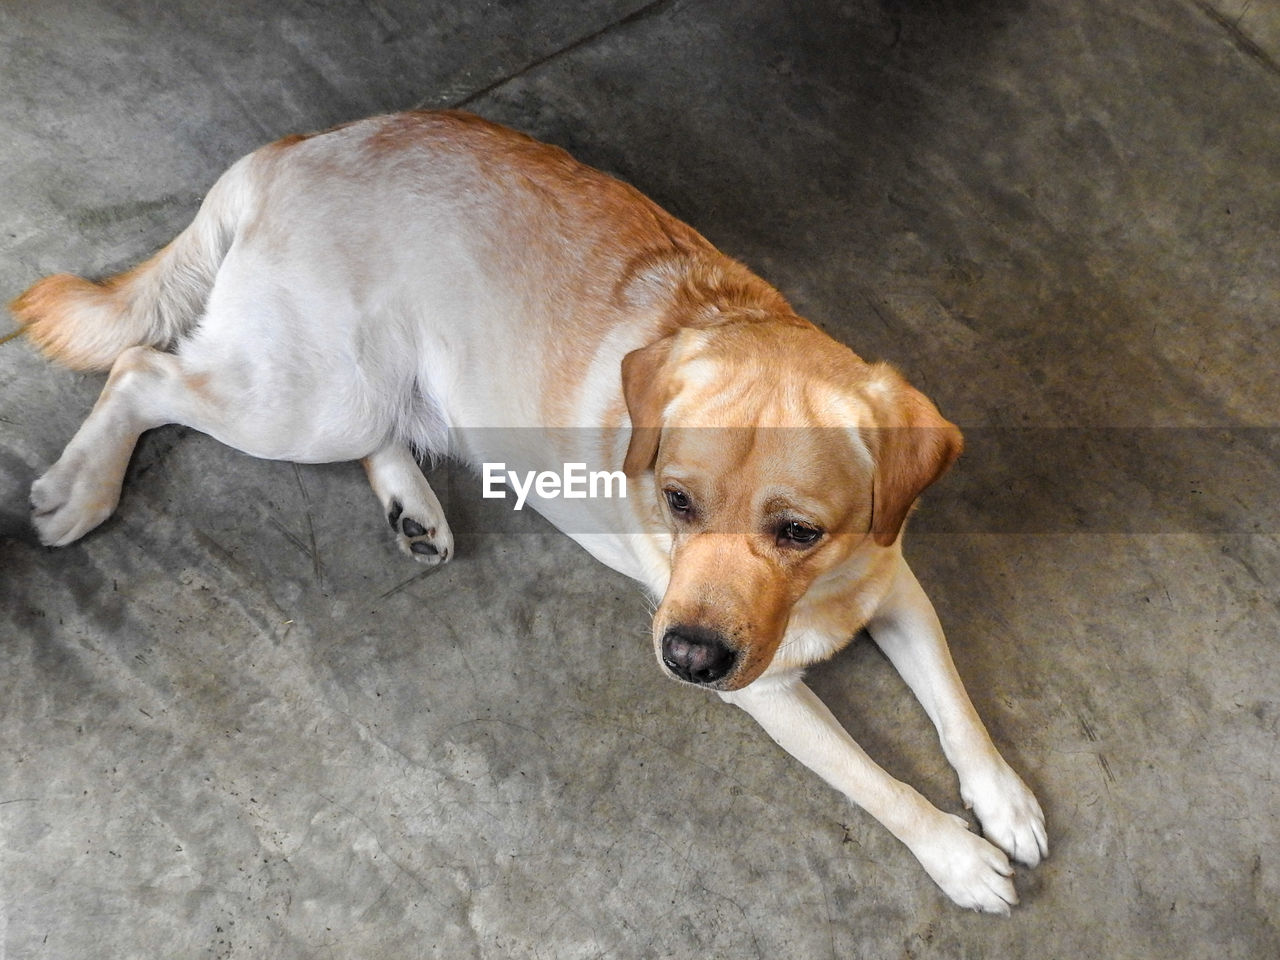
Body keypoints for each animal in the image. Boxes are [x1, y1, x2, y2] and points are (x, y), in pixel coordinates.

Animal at [12, 108, 1049, 911]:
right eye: (676, 500)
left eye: (799, 530)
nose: (686, 660)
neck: (821, 594)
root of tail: (293, 146)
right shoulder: (768, 692)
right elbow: (878, 784)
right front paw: (957, 854)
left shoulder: (896, 582)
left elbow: (956, 705)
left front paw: (1002, 797)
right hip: (309, 399)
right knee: (141, 371)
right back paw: (80, 489)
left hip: (363, 391)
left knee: (366, 426)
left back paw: (414, 510)